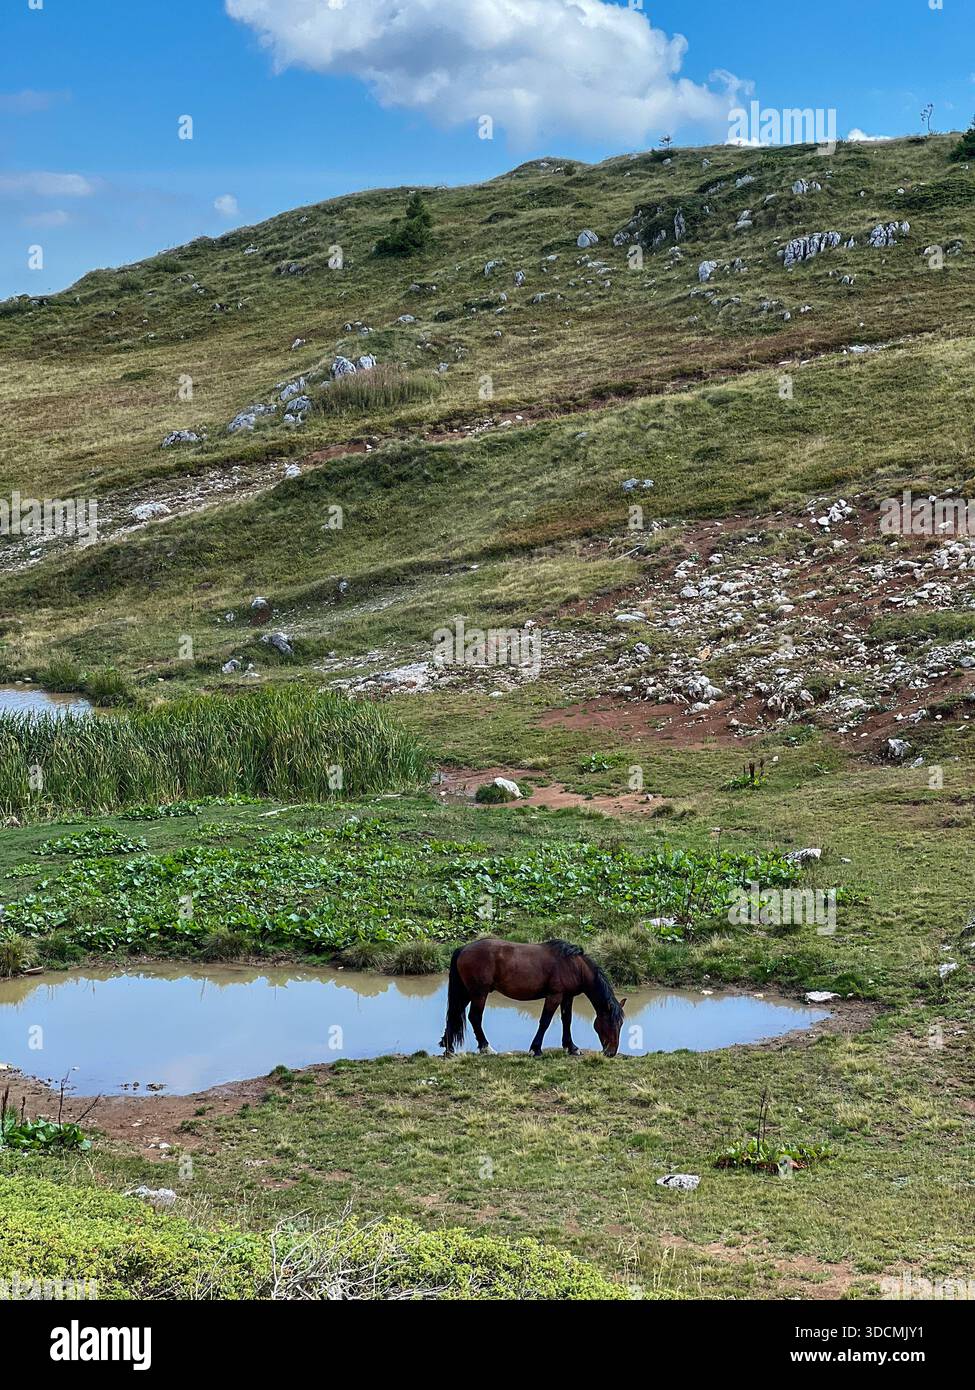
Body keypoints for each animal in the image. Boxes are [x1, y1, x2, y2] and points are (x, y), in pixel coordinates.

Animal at [439, 938, 626, 1057]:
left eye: (621, 1024)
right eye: (611, 1023)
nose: (611, 1052)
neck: (573, 966)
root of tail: (463, 949)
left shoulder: (567, 997)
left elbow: (567, 1021)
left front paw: (571, 1048)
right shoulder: (554, 996)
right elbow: (545, 1021)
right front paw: (536, 1049)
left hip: (467, 993)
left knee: (454, 1015)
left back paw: (449, 1049)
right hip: (479, 993)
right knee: (475, 1017)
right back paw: (487, 1048)